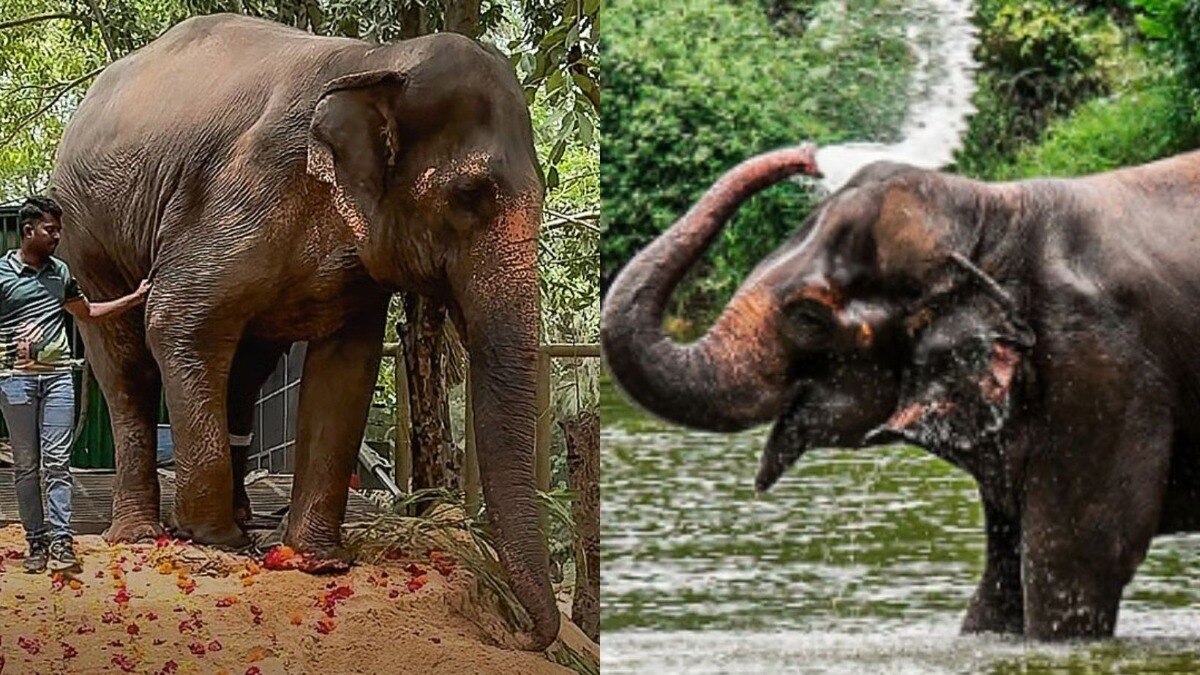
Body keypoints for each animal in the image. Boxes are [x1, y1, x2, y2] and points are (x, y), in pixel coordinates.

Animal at [52, 14, 557, 649]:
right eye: (469, 196)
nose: (523, 635)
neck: (378, 59)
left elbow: (347, 366)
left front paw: (316, 560)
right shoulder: (240, 194)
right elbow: (177, 318)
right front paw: (213, 541)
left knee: (244, 373)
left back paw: (241, 518)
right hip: (85, 239)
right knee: (126, 363)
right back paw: (145, 534)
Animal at [601, 142, 1200, 640]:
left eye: (808, 318)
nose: (809, 156)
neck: (994, 210)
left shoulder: (1101, 367)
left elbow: (1079, 558)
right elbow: (1004, 574)